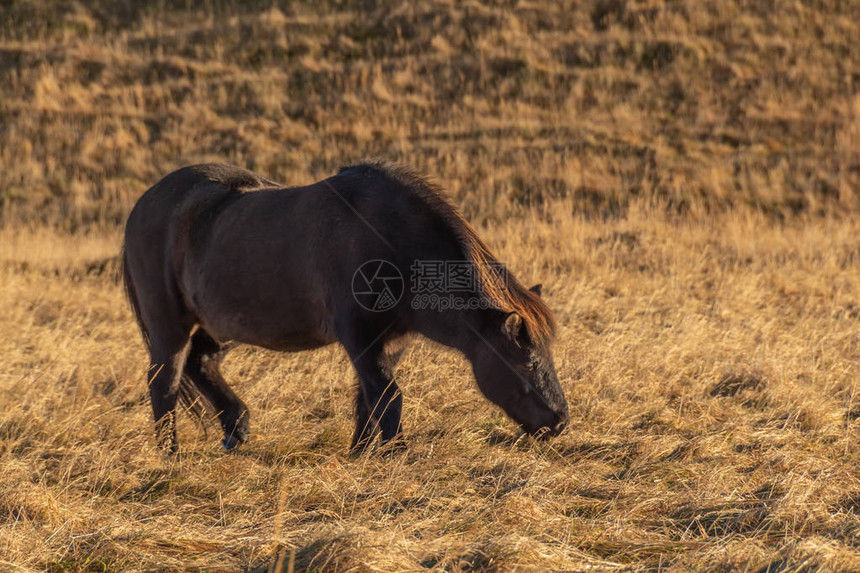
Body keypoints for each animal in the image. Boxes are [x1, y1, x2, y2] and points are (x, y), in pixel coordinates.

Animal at [119, 162, 564, 456]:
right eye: (526, 361)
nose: (560, 420)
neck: (390, 239)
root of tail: (142, 205)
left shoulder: (391, 342)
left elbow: (369, 398)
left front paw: (361, 452)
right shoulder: (359, 338)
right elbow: (387, 396)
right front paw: (397, 452)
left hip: (222, 326)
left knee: (201, 363)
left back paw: (236, 428)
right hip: (170, 326)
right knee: (165, 381)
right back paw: (170, 454)